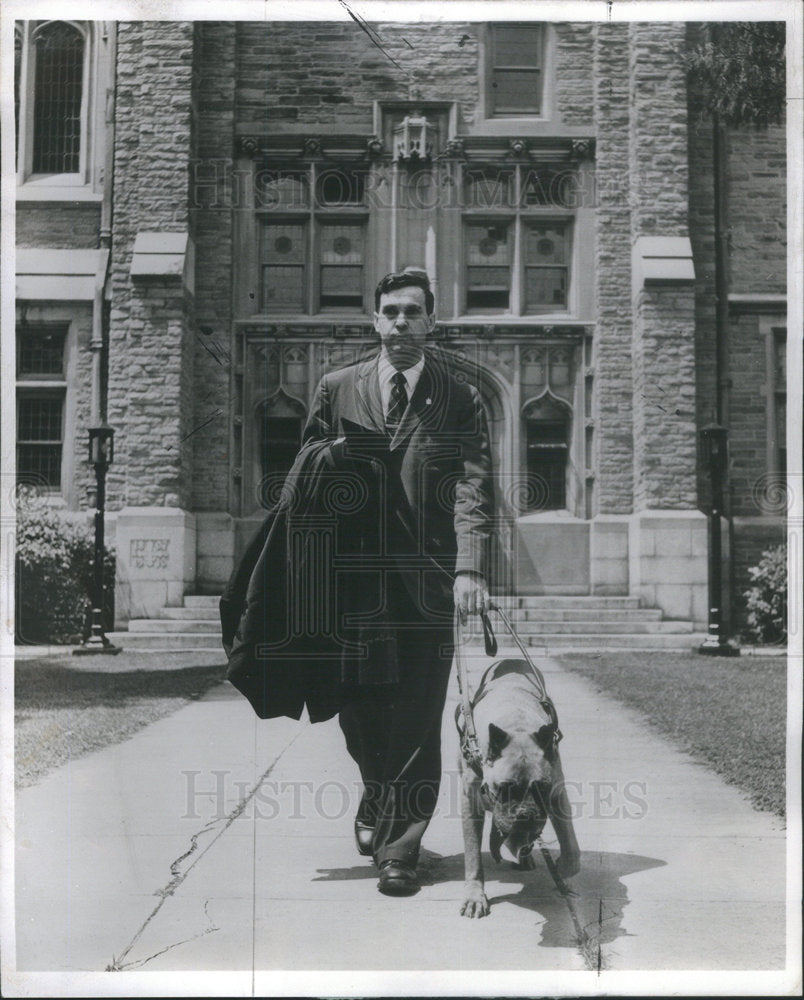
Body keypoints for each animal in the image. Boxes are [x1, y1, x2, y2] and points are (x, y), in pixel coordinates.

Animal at [458, 660, 576, 916]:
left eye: (541, 788)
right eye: (505, 788)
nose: (527, 814)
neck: (517, 726)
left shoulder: (557, 795)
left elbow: (571, 844)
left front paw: (564, 869)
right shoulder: (470, 804)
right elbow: (473, 857)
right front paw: (474, 895)